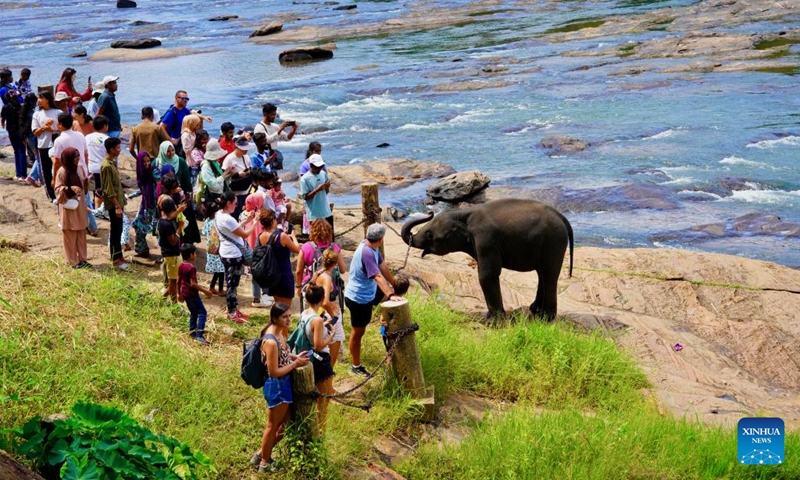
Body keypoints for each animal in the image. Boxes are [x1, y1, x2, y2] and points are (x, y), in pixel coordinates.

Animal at [404, 199, 572, 322]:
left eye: (429, 235)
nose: (430, 211)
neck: (462, 214)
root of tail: (561, 216)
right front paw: (490, 319)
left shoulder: (486, 240)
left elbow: (487, 275)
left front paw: (493, 323)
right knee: (542, 274)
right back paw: (535, 310)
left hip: (553, 242)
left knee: (549, 276)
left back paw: (545, 318)